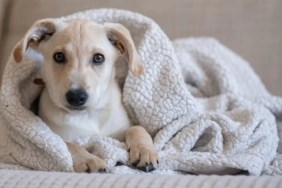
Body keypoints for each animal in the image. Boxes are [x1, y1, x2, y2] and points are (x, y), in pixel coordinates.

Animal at [12, 18, 159, 173]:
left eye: (98, 58)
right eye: (59, 56)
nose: (76, 97)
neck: (89, 115)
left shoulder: (119, 132)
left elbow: (137, 128)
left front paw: (144, 150)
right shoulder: (53, 135)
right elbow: (67, 144)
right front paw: (89, 160)